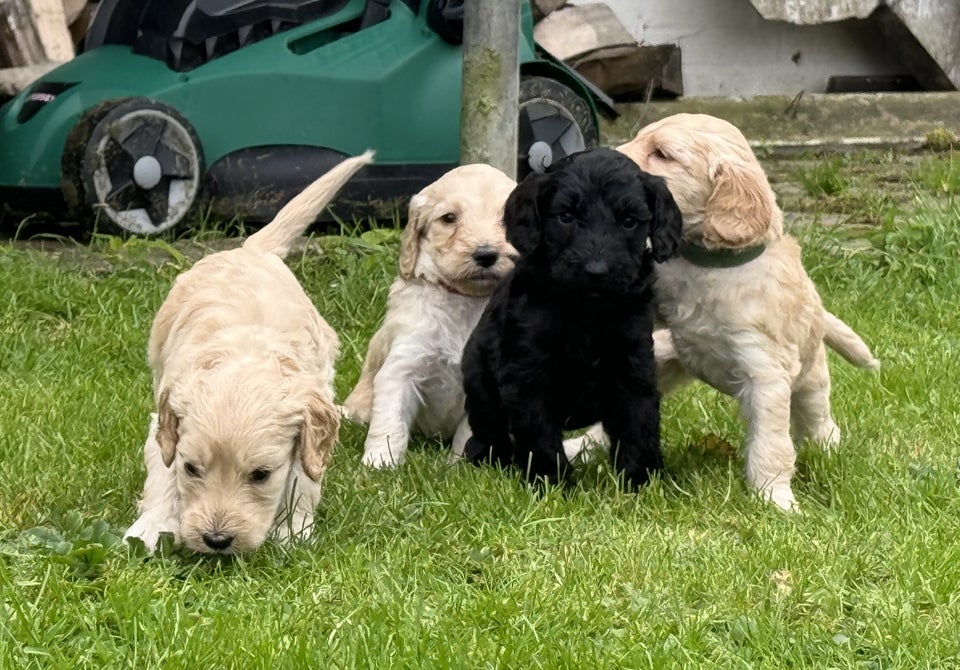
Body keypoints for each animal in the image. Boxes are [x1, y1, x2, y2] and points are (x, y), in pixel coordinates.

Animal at [124, 152, 372, 556]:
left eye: (260, 475)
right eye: (192, 469)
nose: (216, 540)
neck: (243, 351)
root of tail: (249, 250)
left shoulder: (309, 425)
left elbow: (303, 476)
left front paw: (292, 531)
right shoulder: (164, 419)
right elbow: (162, 471)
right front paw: (150, 528)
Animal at [344, 164, 516, 468]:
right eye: (449, 218)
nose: (485, 254)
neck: (467, 301)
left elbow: (467, 433)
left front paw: (457, 466)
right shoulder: (402, 366)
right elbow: (389, 424)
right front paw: (379, 464)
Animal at [464, 148, 684, 488]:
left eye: (629, 221)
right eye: (566, 217)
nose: (596, 271)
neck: (585, 311)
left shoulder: (633, 364)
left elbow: (639, 424)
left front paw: (640, 482)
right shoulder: (527, 374)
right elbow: (539, 434)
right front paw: (551, 483)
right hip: (478, 382)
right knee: (489, 431)